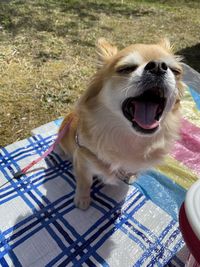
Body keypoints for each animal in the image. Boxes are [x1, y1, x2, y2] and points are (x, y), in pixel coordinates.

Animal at [58, 37, 185, 210]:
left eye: (175, 71)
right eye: (126, 69)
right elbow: (85, 182)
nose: (158, 66)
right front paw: (82, 200)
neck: (130, 139)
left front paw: (130, 176)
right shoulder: (82, 159)